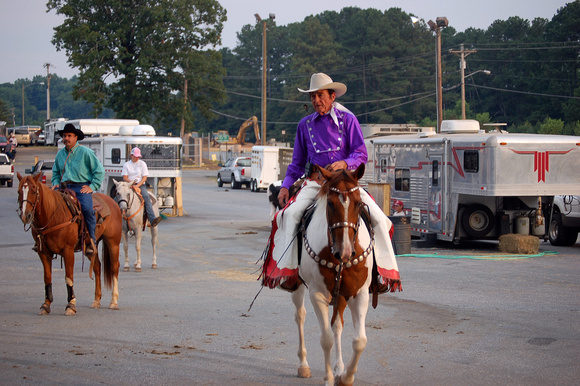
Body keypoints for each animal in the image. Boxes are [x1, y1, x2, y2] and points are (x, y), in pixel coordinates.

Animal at [16, 173, 122, 316]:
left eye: (33, 191)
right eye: (19, 192)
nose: (25, 215)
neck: (53, 215)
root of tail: (112, 201)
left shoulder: (68, 251)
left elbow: (69, 277)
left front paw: (71, 305)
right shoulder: (43, 252)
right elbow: (47, 277)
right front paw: (46, 305)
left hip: (113, 242)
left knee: (114, 267)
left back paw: (114, 301)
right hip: (90, 248)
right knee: (97, 267)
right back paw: (96, 301)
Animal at [292, 164, 374, 386]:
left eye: (358, 204)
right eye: (330, 203)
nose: (344, 251)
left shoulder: (358, 293)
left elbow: (360, 340)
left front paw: (344, 377)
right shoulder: (318, 294)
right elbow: (326, 339)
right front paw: (329, 378)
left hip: (341, 295)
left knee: (337, 325)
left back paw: (339, 367)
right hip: (299, 286)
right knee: (300, 316)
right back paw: (303, 365)